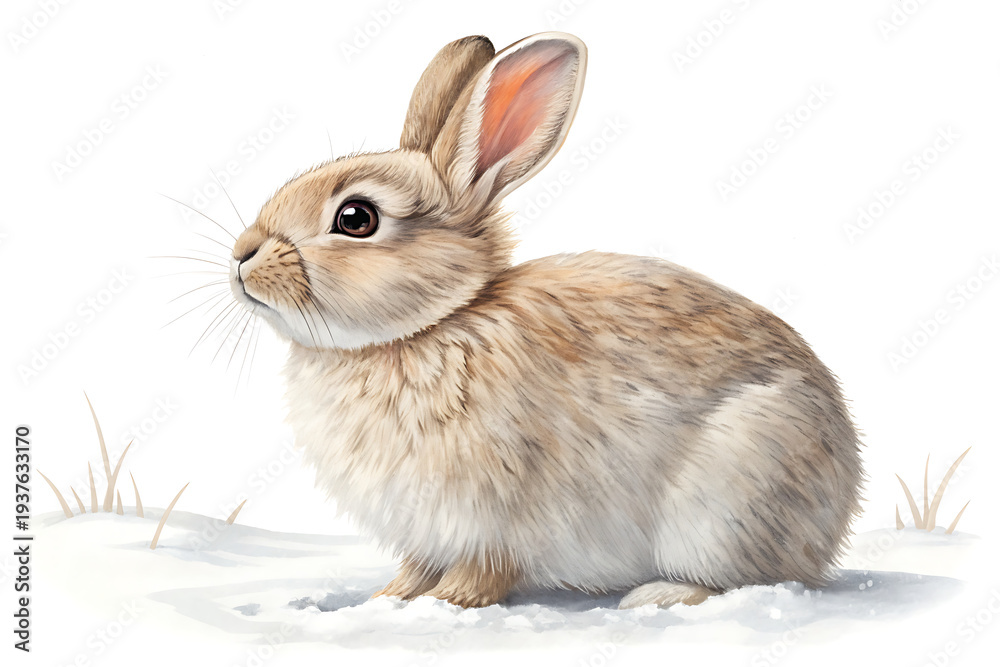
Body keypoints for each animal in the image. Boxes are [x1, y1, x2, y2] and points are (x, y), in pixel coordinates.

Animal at [226, 32, 864, 609]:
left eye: (356, 218)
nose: (241, 257)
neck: (433, 325)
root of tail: (835, 519)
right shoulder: (425, 529)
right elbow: (415, 567)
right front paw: (391, 597)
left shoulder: (494, 514)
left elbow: (484, 571)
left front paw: (449, 602)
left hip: (729, 499)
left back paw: (658, 595)